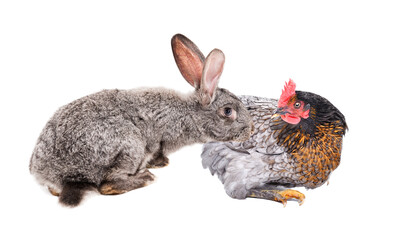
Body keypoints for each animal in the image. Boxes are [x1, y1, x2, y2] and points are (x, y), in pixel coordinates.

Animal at [29, 33, 253, 206]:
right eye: (228, 111)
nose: (249, 130)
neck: (189, 114)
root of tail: (52, 174)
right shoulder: (160, 139)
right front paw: (160, 164)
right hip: (130, 145)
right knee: (107, 185)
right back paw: (145, 178)